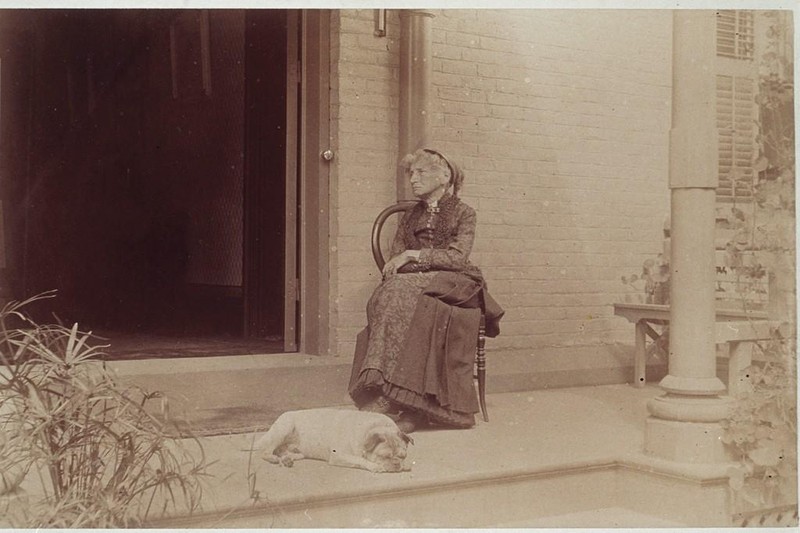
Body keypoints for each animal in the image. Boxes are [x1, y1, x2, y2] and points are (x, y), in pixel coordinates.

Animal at [255, 410, 416, 472]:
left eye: (403, 456)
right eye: (384, 456)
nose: (397, 463)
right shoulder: (339, 455)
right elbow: (359, 460)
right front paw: (374, 466)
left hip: (299, 452)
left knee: (283, 451)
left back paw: (286, 459)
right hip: (284, 427)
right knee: (265, 451)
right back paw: (273, 458)